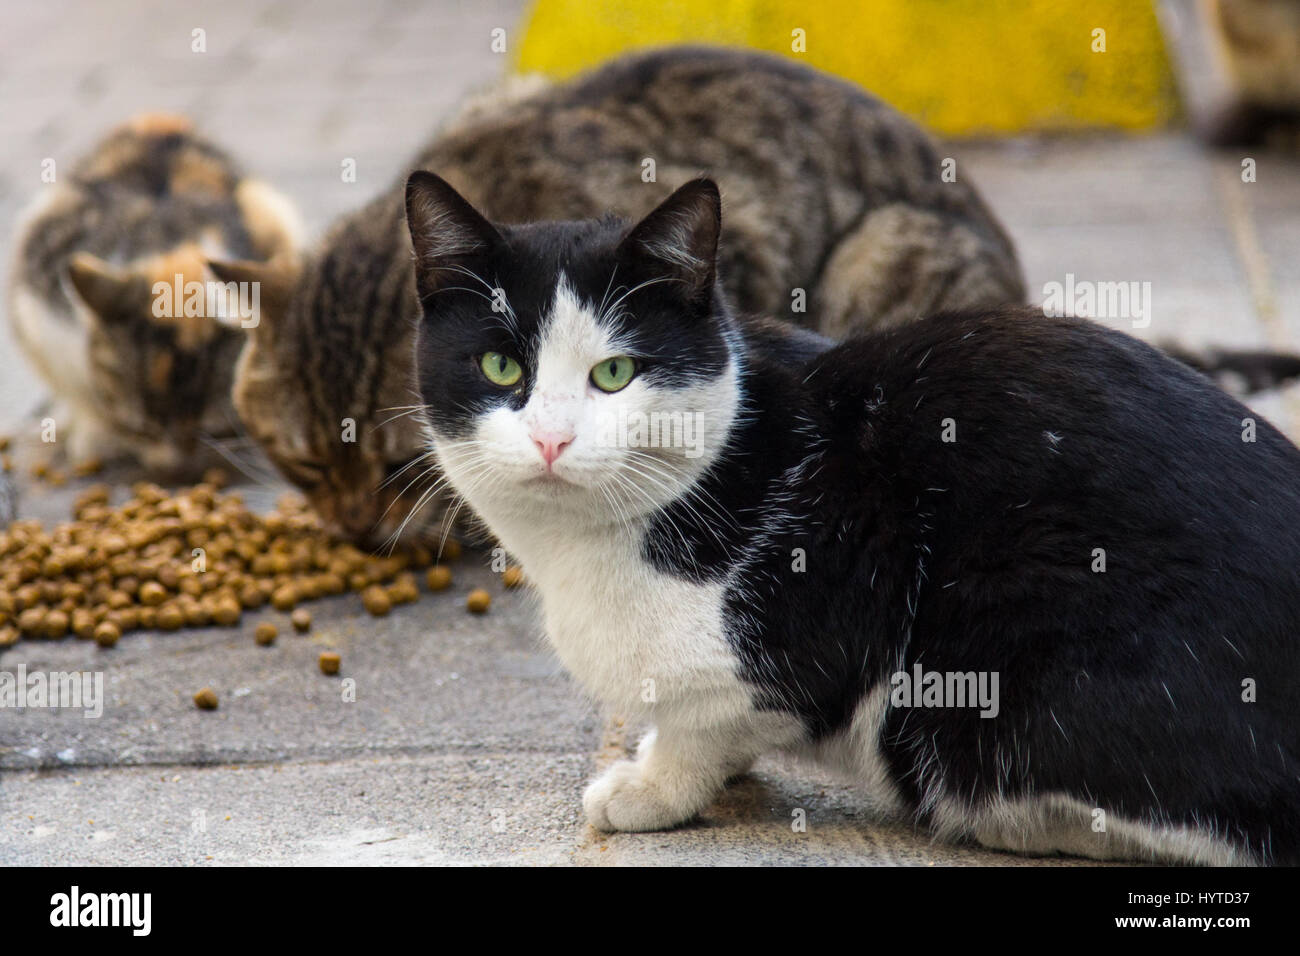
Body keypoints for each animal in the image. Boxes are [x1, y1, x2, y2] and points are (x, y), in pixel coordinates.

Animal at [10, 115, 299, 476]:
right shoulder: (44, 314)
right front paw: (96, 434)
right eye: (141, 429)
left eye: (211, 431)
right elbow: (77, 387)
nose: (174, 468)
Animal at [400, 171, 1294, 868]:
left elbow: (711, 716)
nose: (552, 439)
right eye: (501, 366)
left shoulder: (845, 564)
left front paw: (654, 787)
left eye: (615, 373)